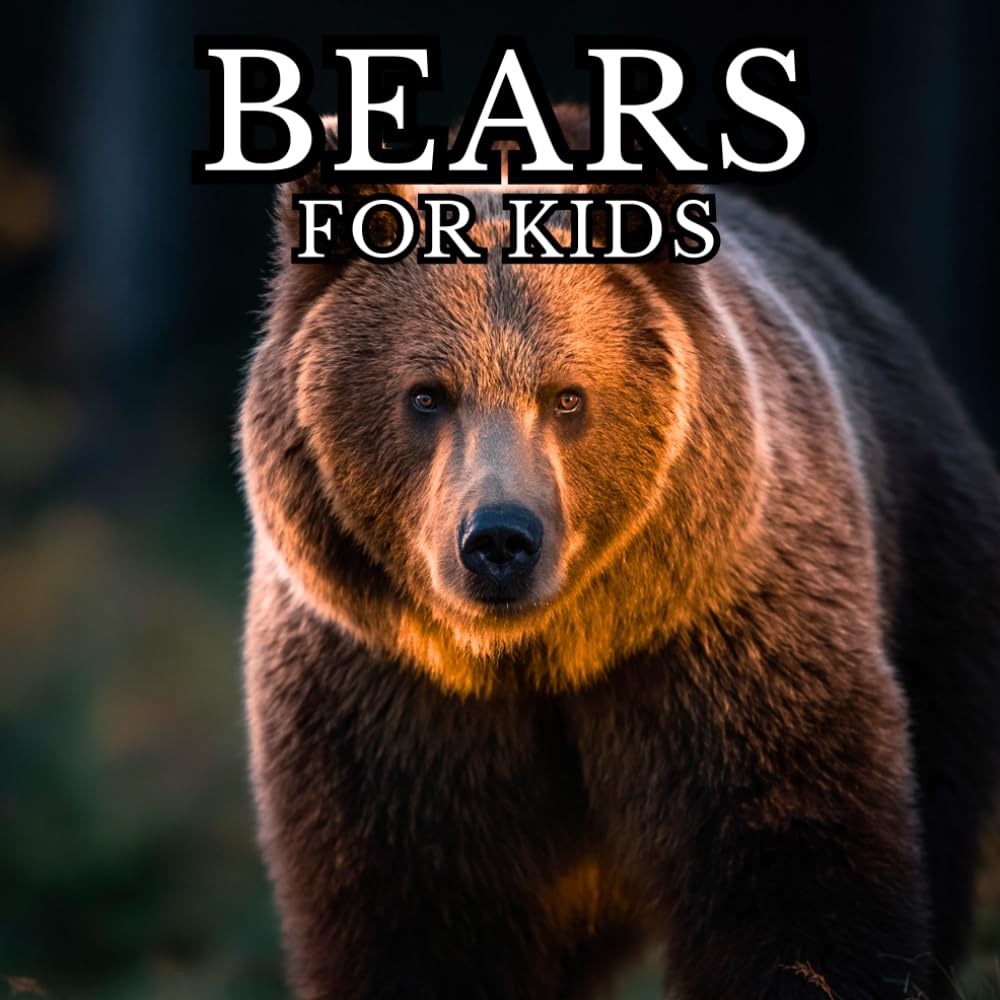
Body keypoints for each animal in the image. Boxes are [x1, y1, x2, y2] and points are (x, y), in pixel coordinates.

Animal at [239, 108, 1000, 999]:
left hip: (933, 580)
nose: (499, 540)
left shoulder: (720, 648)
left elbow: (796, 879)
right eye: (426, 394)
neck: (536, 658)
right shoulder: (385, 697)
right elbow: (410, 914)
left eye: (567, 396)